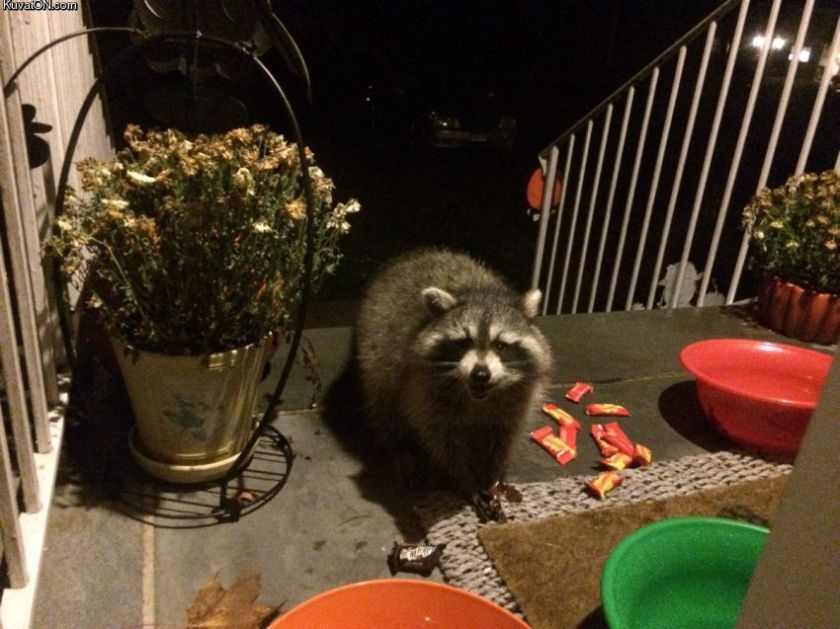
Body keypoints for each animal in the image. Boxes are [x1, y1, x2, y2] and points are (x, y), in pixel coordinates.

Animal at [355, 249, 552, 521]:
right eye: (463, 342)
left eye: (500, 345)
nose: (480, 374)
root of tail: (415, 254)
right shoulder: (424, 392)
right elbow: (446, 444)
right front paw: (467, 480)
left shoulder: (518, 400)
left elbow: (502, 438)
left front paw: (493, 477)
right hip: (376, 357)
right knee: (384, 407)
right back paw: (400, 449)